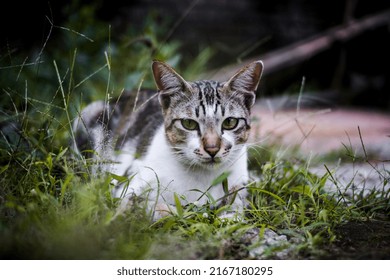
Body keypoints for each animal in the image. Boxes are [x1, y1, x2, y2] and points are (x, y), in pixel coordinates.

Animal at [72, 60, 264, 220]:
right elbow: (151, 206)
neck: (203, 176)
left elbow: (237, 201)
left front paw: (228, 212)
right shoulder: (126, 187)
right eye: (189, 124)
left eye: (230, 122)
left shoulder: (239, 181)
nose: (212, 148)